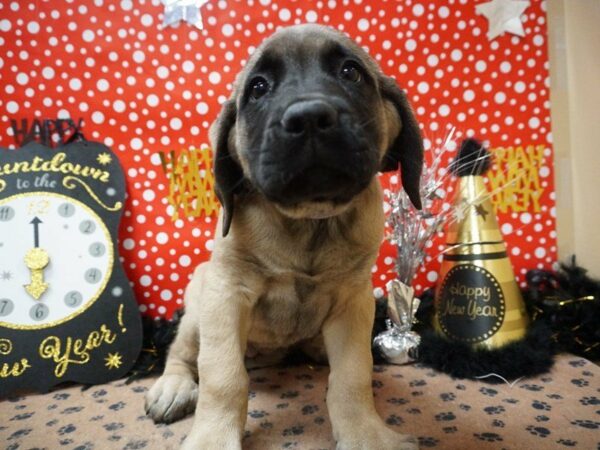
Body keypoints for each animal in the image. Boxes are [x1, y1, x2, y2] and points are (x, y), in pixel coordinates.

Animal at [145, 24, 422, 450]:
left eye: (350, 72)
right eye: (258, 87)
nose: (309, 117)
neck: (307, 225)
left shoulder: (354, 302)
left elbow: (353, 374)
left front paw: (365, 433)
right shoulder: (226, 294)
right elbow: (222, 376)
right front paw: (212, 437)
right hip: (197, 308)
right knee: (182, 353)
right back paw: (173, 386)